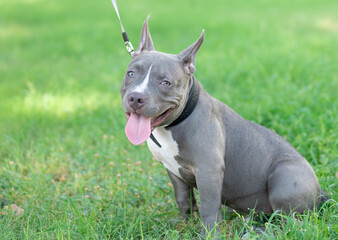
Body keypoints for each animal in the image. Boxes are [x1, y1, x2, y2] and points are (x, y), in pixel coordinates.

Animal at [120, 16, 326, 236]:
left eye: (165, 82)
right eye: (131, 74)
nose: (136, 97)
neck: (174, 124)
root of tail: (319, 193)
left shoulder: (208, 170)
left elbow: (208, 207)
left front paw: (208, 234)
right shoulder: (173, 170)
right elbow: (183, 199)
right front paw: (182, 224)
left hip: (286, 174)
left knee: (292, 223)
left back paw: (257, 232)